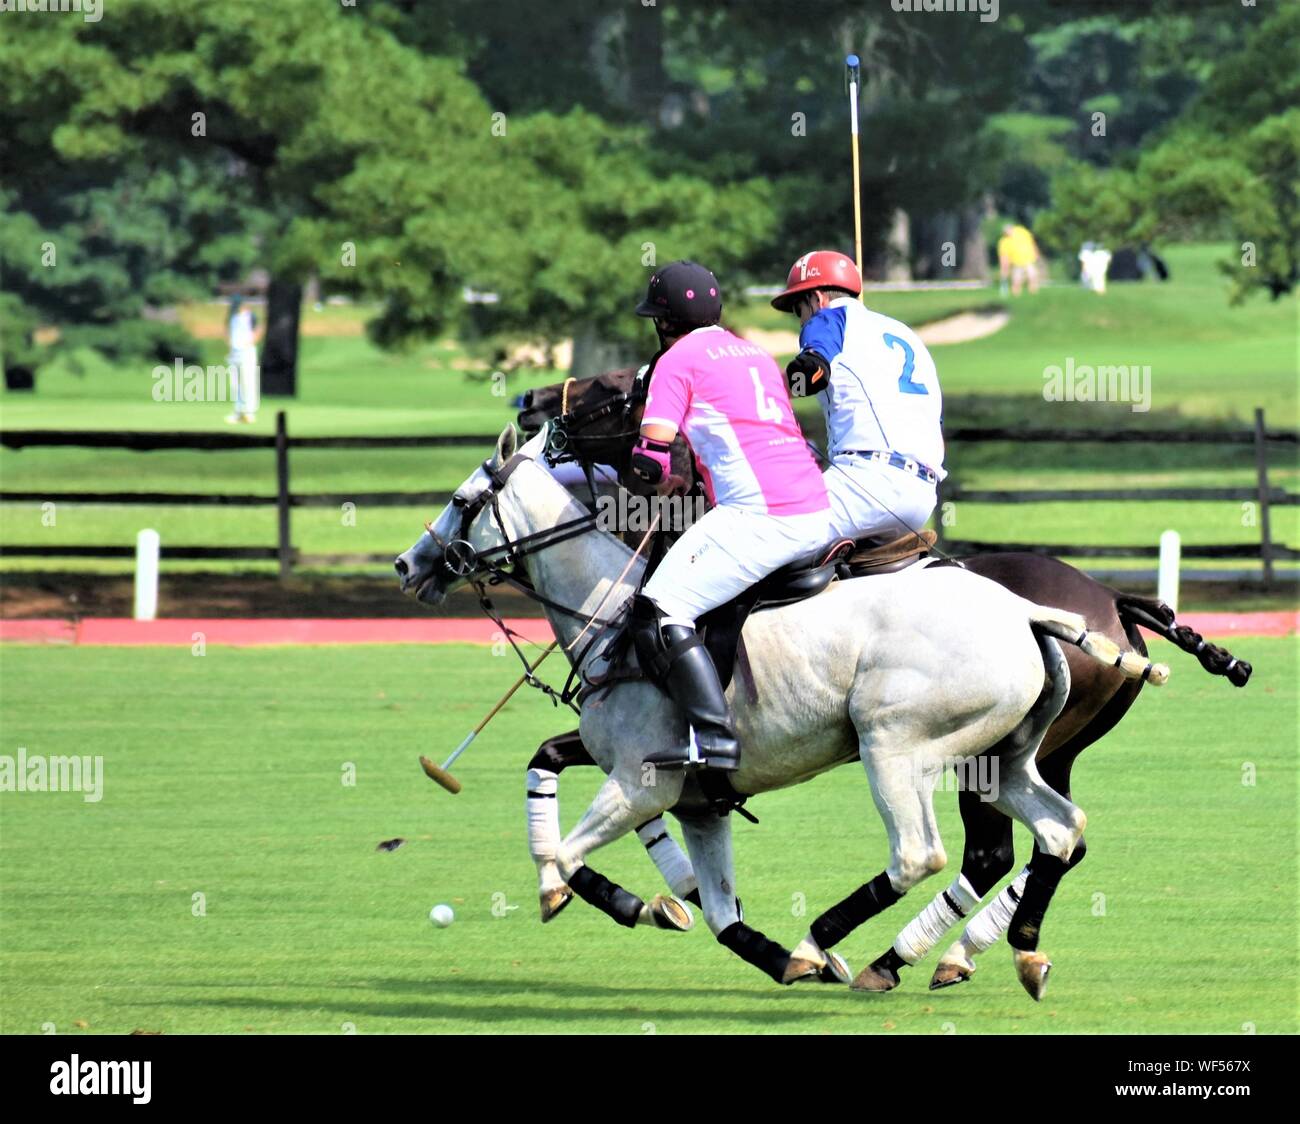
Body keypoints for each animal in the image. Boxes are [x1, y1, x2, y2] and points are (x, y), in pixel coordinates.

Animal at [506, 369, 1248, 992]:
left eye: (611, 391)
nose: (530, 406)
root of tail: (1111, 600)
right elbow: (557, 757)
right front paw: (666, 894)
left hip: (965, 750)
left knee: (988, 852)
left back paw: (905, 956)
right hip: (1037, 751)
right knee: (1055, 840)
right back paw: (984, 950)